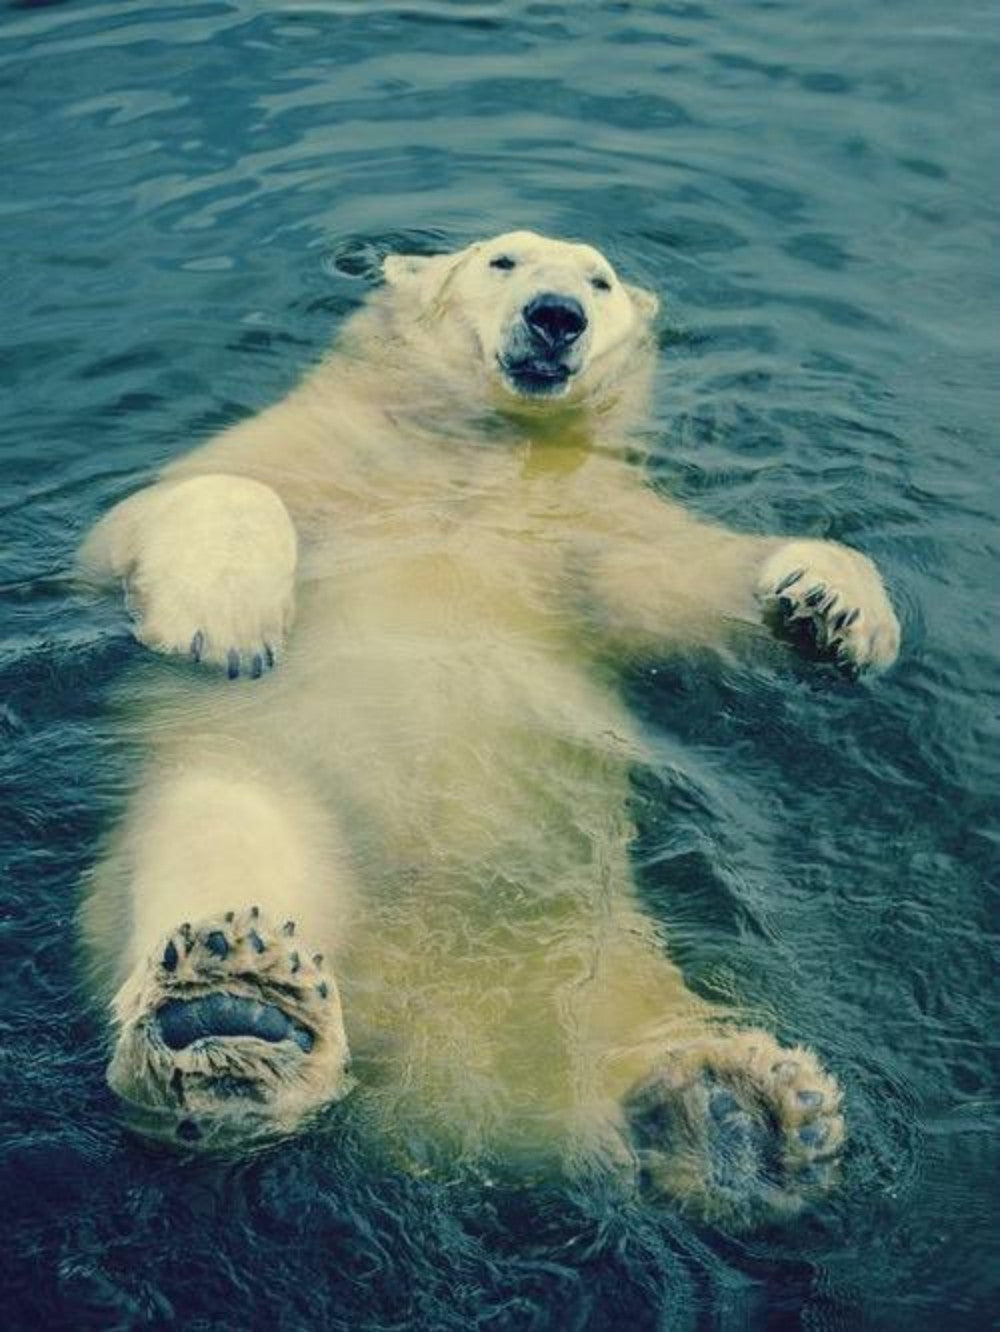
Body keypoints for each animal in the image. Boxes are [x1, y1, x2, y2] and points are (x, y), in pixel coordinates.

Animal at [78, 230, 900, 1228]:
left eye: (599, 280)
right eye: (503, 259)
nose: (557, 316)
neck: (477, 458)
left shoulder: (587, 533)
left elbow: (679, 581)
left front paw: (834, 605)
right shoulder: (311, 459)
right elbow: (173, 506)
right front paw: (229, 624)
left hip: (603, 951)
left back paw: (742, 1110)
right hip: (256, 795)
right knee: (222, 843)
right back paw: (236, 1012)